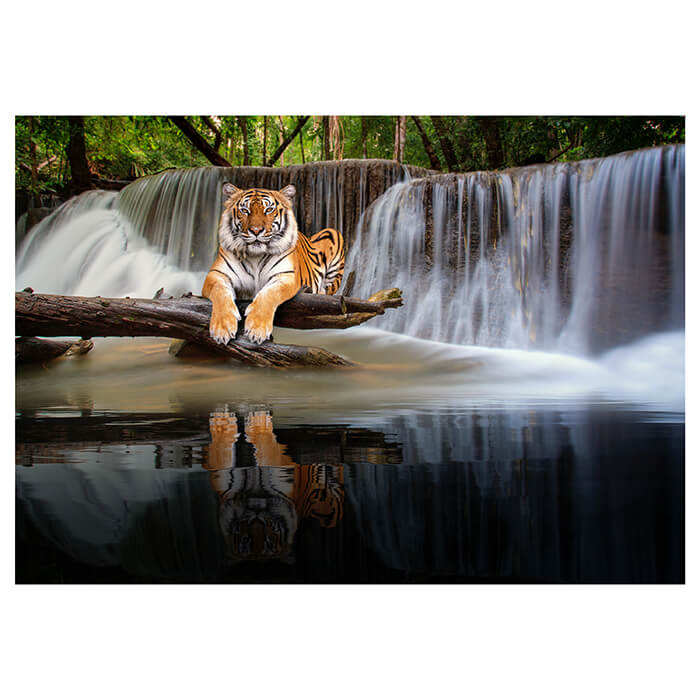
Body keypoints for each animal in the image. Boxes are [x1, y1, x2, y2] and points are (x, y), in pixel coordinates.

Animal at [202, 183, 345, 345]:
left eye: (268, 209)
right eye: (245, 210)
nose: (256, 230)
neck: (255, 256)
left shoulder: (285, 276)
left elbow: (268, 293)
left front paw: (257, 328)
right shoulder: (217, 274)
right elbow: (220, 292)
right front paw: (223, 327)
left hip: (333, 233)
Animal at [205, 409, 344, 561]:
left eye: (269, 542)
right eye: (245, 540)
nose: (256, 512)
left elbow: (267, 448)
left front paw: (259, 421)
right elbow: (220, 452)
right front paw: (221, 422)